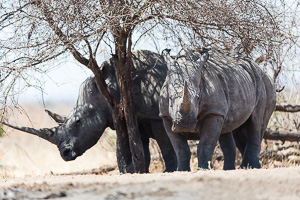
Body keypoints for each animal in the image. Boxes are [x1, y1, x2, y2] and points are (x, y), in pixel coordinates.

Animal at [2, 50, 177, 173]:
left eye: (78, 121)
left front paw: (168, 171)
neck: (111, 86)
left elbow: (166, 144)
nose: (65, 154)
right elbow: (140, 148)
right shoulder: (131, 116)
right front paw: (136, 172)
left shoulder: (155, 115)